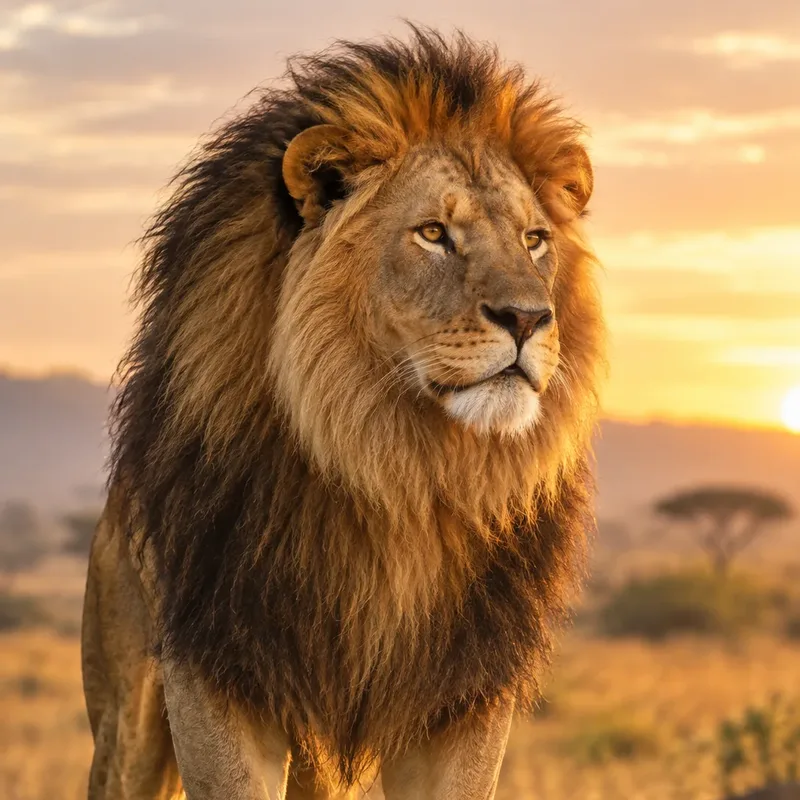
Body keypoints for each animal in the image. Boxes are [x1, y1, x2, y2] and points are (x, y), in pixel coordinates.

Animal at [81, 27, 605, 800]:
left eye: (534, 240)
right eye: (433, 233)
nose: (528, 317)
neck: (397, 467)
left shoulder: (463, 692)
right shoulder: (216, 667)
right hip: (129, 721)